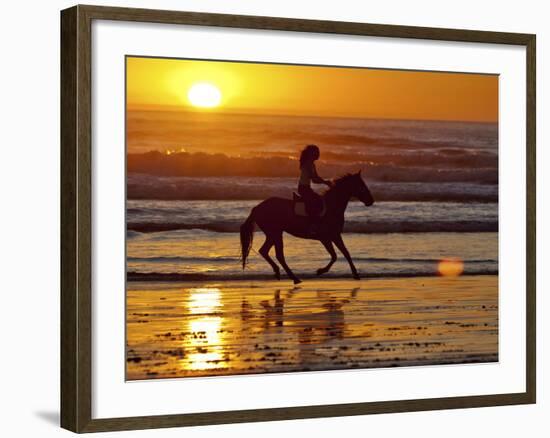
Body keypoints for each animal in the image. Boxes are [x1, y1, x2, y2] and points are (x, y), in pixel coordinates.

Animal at [240, 171, 376, 284]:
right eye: (361, 186)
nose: (371, 201)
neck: (332, 207)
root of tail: (256, 208)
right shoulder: (329, 237)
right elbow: (337, 255)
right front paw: (322, 271)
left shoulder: (331, 236)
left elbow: (343, 253)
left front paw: (354, 274)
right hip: (275, 233)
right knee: (277, 254)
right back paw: (293, 278)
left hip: (273, 234)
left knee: (265, 251)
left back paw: (280, 273)